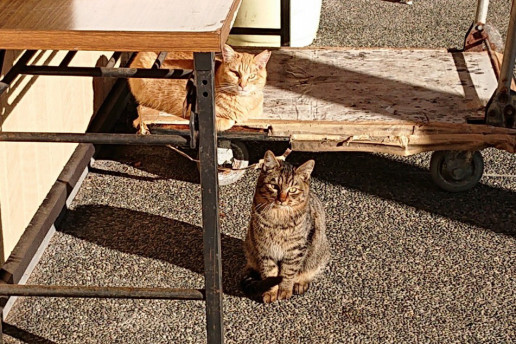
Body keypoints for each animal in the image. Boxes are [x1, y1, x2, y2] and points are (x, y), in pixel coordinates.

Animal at [243, 152, 330, 302]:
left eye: (293, 190)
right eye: (274, 186)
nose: (282, 199)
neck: (278, 218)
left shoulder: (295, 250)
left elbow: (288, 272)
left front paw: (284, 290)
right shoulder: (265, 249)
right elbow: (270, 272)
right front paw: (271, 292)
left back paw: (300, 283)